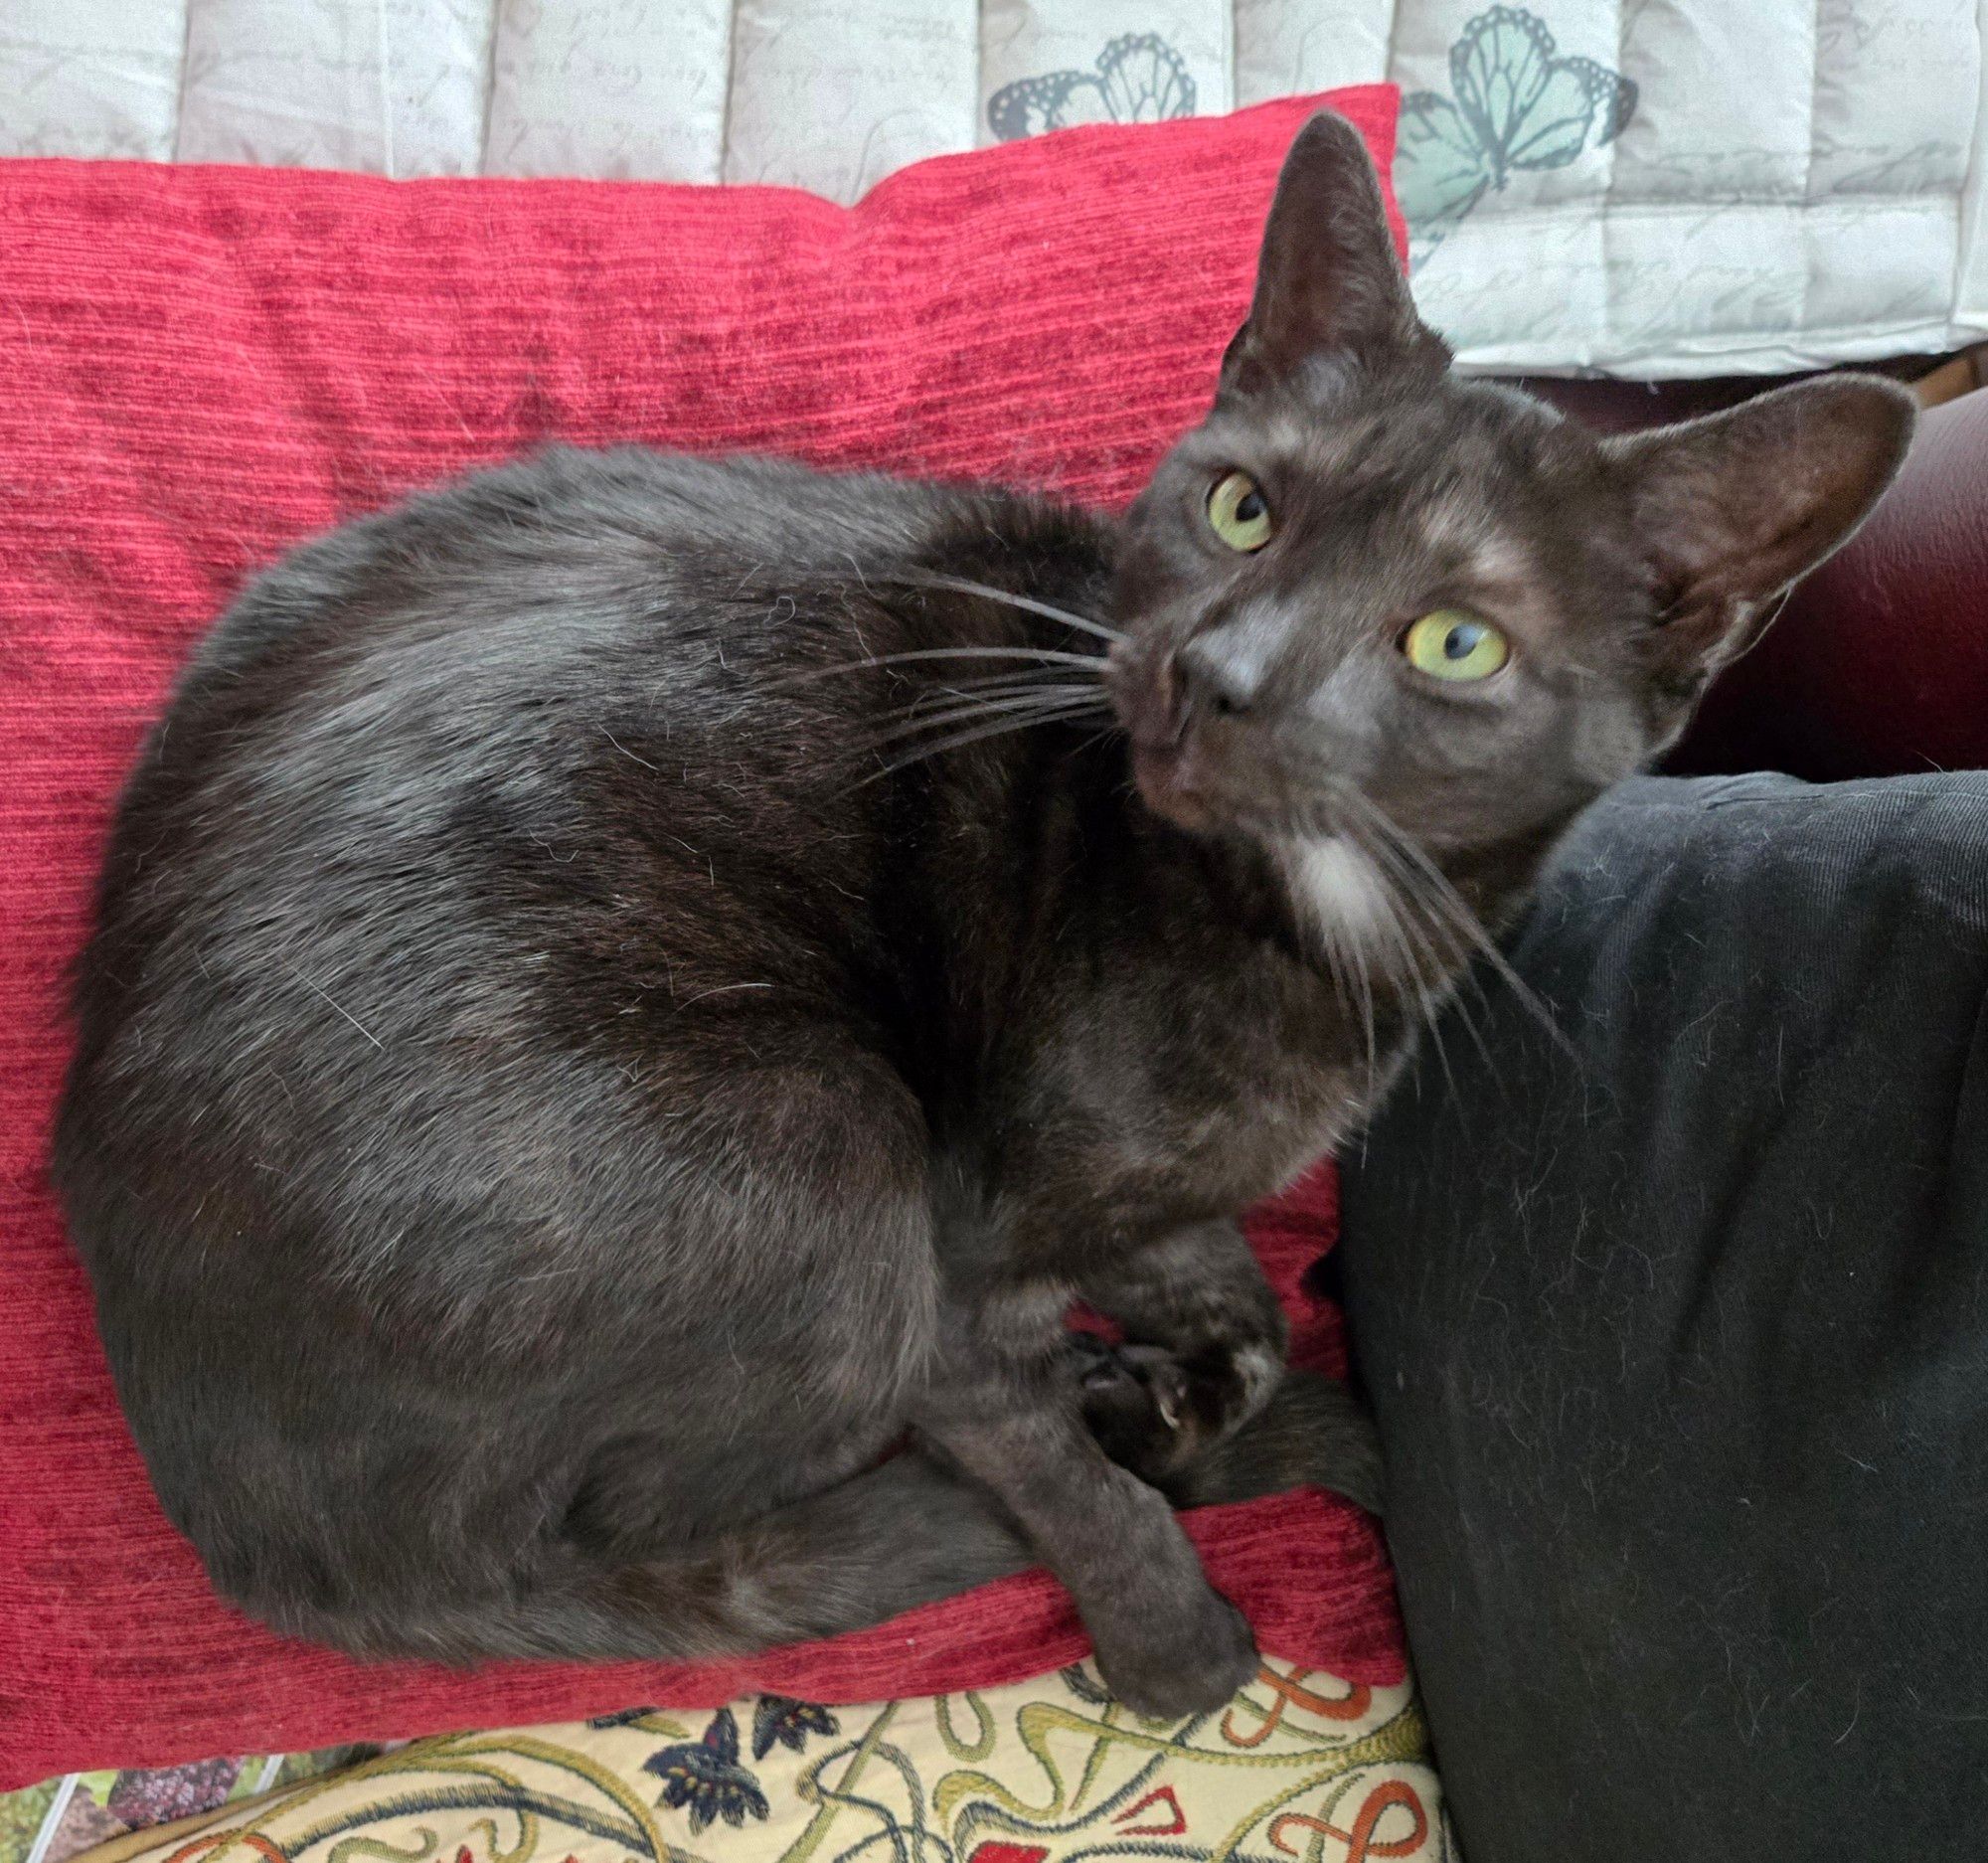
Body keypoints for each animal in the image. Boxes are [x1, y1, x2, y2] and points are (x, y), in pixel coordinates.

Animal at [50, 112, 1908, 1718]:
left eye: (1455, 641)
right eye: (1244, 507)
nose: (1217, 673)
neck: (1313, 946)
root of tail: (254, 1529)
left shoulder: (1147, 1188)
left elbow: (1235, 1296)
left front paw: (1178, 1372)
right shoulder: (958, 1277)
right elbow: (1061, 1466)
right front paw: (1170, 1622)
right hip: (818, 1143)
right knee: (671, 1524)